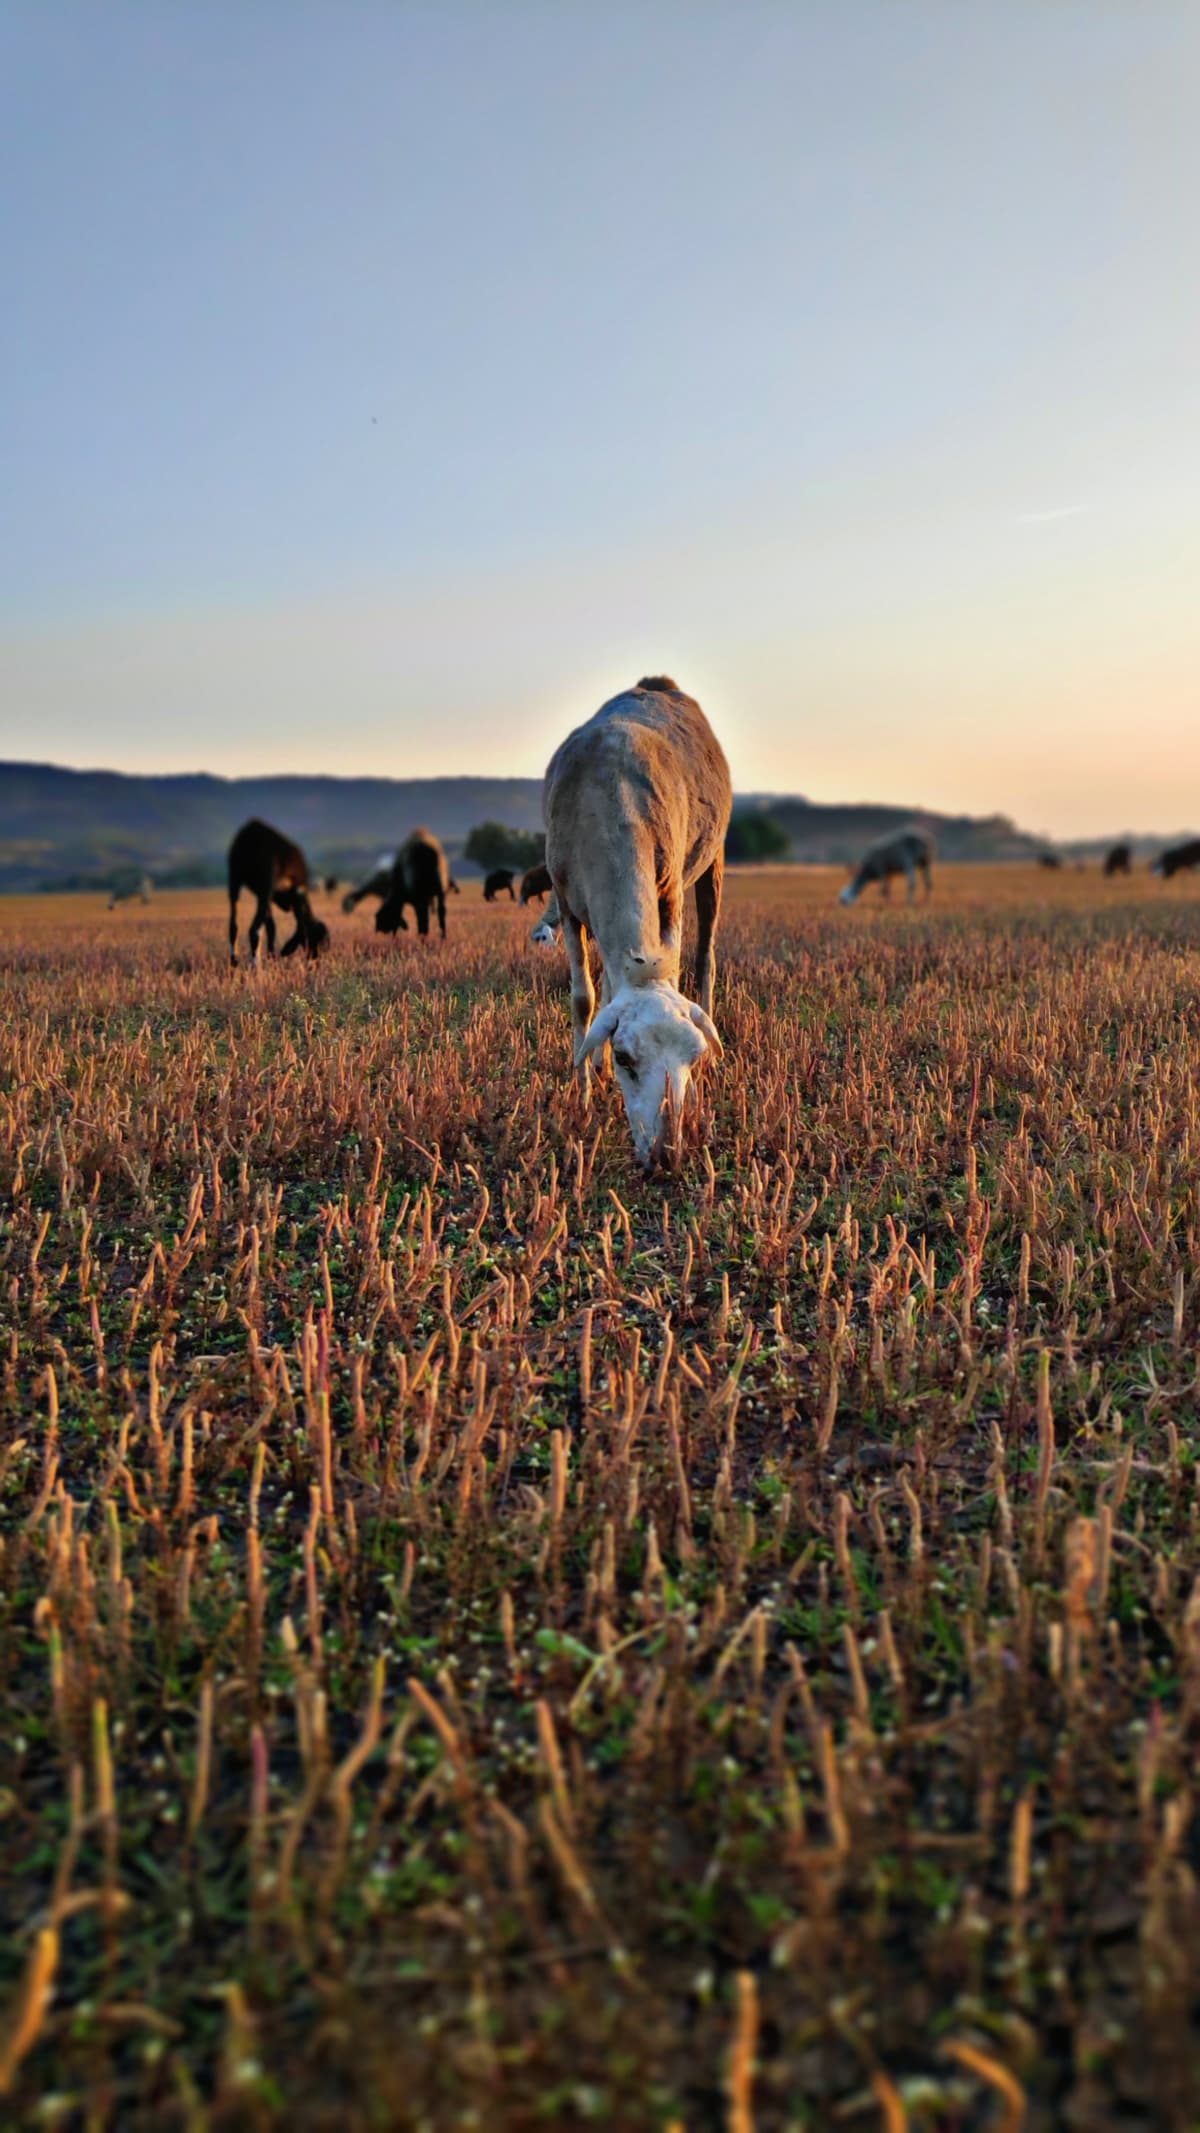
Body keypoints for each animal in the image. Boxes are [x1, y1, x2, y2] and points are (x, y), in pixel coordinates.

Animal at [227, 820, 329, 967]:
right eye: (321, 942)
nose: (315, 959)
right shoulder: (297, 891)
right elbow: (301, 925)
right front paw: (287, 950)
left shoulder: (265, 895)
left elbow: (271, 926)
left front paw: (273, 957)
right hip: (266, 881)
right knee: (254, 929)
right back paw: (255, 965)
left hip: (235, 879)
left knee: (233, 925)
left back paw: (234, 961)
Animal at [544, 676, 731, 1167]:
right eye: (625, 1057)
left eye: (693, 1056)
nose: (667, 1154)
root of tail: (657, 683)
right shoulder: (566, 901)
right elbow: (584, 999)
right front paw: (584, 1091)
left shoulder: (670, 889)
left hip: (713, 857)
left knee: (705, 957)